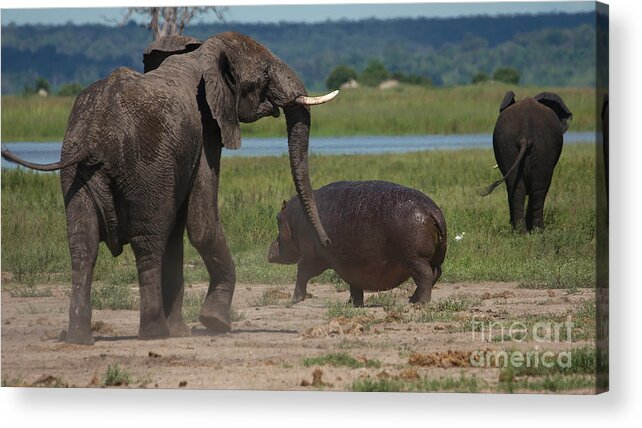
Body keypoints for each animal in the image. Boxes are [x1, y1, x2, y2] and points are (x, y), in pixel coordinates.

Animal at [0, 30, 338, 344]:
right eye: (265, 73)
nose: (327, 242)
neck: (201, 53)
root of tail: (96, 135)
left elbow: (177, 233)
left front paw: (185, 331)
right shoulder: (206, 132)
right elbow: (201, 224)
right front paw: (215, 322)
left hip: (76, 173)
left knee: (83, 245)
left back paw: (80, 338)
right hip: (144, 167)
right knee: (148, 243)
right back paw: (154, 333)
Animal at [264, 181, 444, 308]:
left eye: (277, 219)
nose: (270, 250)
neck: (292, 218)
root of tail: (430, 209)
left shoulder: (312, 257)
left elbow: (302, 273)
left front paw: (293, 300)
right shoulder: (352, 263)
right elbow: (354, 284)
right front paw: (352, 304)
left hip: (415, 259)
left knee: (425, 276)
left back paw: (420, 303)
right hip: (430, 258)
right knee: (435, 273)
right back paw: (412, 300)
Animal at [480, 90, 568, 231]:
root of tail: (525, 136)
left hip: (510, 145)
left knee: (520, 188)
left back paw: (522, 231)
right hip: (541, 148)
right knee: (538, 188)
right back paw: (535, 231)